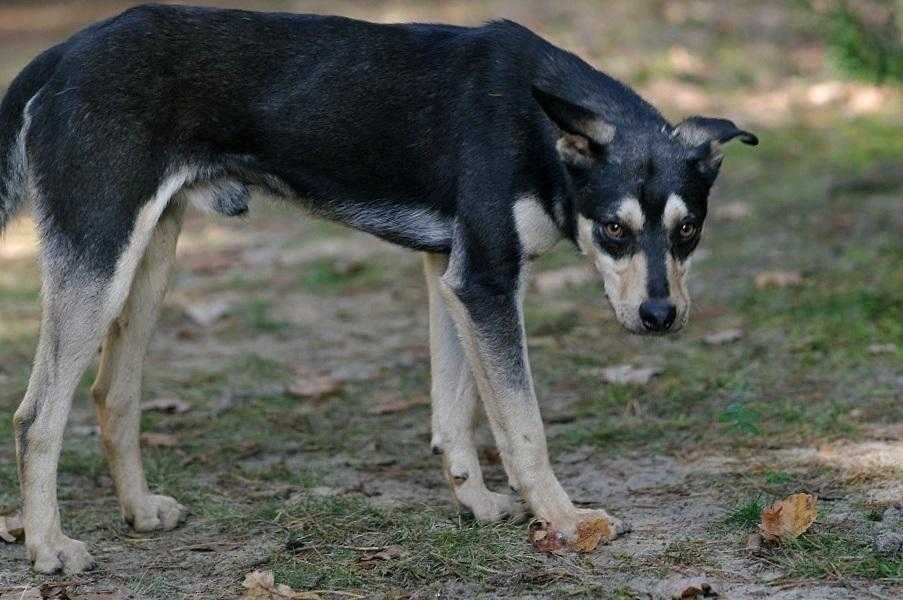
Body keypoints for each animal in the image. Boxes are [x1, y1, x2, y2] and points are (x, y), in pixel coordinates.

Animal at [0, 5, 756, 576]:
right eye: (613, 229)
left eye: (688, 230)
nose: (660, 315)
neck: (538, 128)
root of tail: (59, 56)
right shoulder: (487, 281)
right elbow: (522, 427)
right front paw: (566, 520)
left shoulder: (451, 277)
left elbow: (454, 414)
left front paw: (477, 504)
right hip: (99, 264)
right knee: (37, 417)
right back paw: (49, 547)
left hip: (147, 261)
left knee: (112, 394)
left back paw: (139, 511)